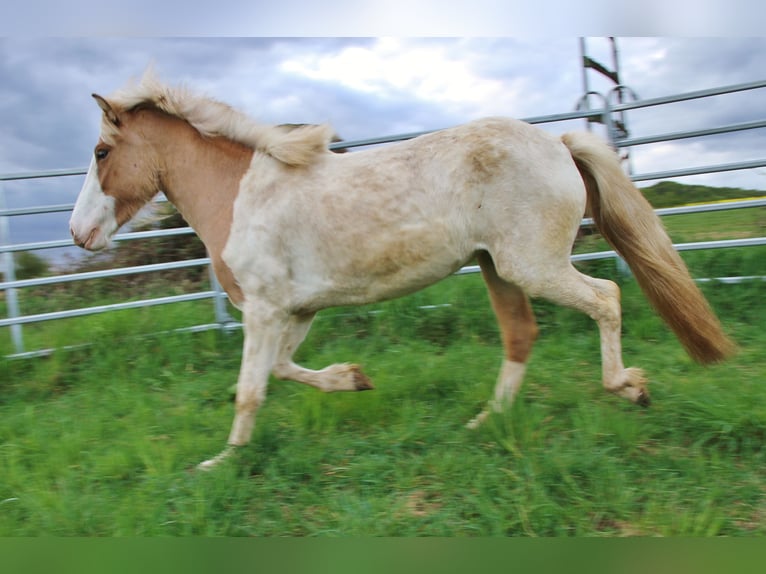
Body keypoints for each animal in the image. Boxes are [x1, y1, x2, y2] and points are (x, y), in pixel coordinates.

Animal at [69, 71, 735, 470]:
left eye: (101, 152)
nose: (80, 234)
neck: (241, 194)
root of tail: (559, 144)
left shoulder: (263, 310)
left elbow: (251, 390)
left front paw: (220, 464)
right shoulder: (294, 311)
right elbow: (282, 371)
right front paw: (354, 379)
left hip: (532, 264)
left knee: (605, 298)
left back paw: (630, 388)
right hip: (497, 268)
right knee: (522, 335)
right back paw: (483, 423)